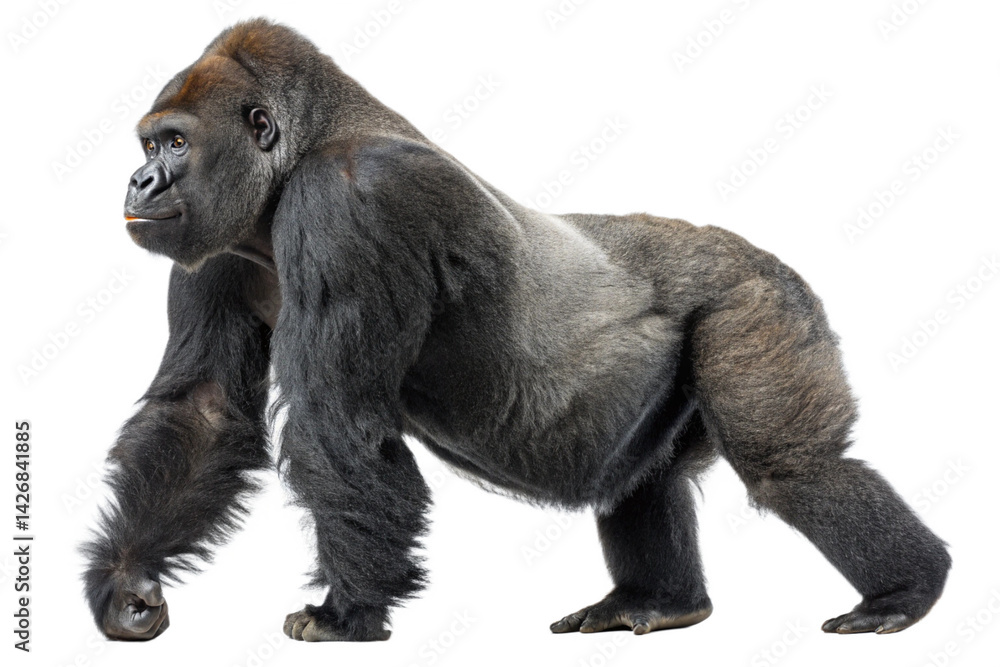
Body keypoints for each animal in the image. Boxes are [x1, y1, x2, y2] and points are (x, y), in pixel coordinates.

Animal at [83, 18, 950, 642]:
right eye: (150, 143)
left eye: (176, 142)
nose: (140, 180)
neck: (297, 153)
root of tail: (772, 261)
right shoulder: (211, 248)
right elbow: (202, 412)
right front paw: (128, 583)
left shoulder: (352, 201)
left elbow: (340, 424)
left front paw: (347, 610)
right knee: (645, 476)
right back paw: (660, 599)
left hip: (759, 299)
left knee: (792, 467)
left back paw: (906, 588)